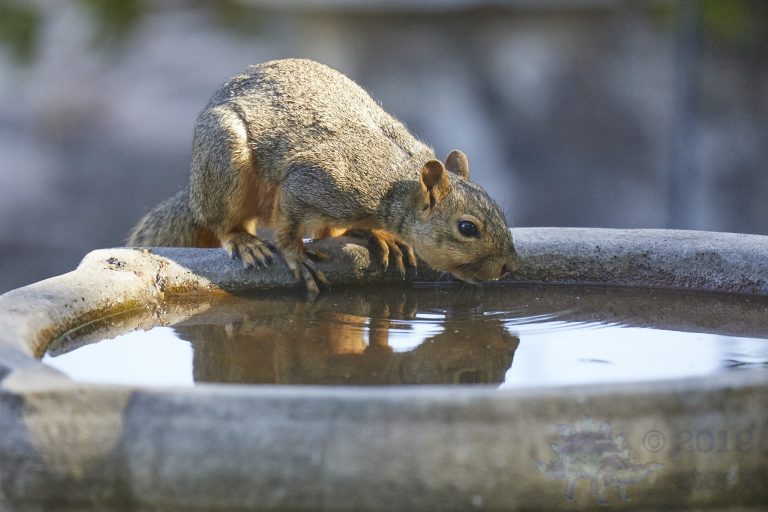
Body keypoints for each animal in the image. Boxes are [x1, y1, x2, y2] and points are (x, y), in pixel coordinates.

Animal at [127, 58, 518, 295]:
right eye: (467, 228)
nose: (509, 266)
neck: (396, 184)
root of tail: (194, 192)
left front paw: (385, 236)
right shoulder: (313, 182)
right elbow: (287, 225)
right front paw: (296, 255)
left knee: (326, 233)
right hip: (225, 164)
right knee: (223, 222)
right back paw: (245, 241)